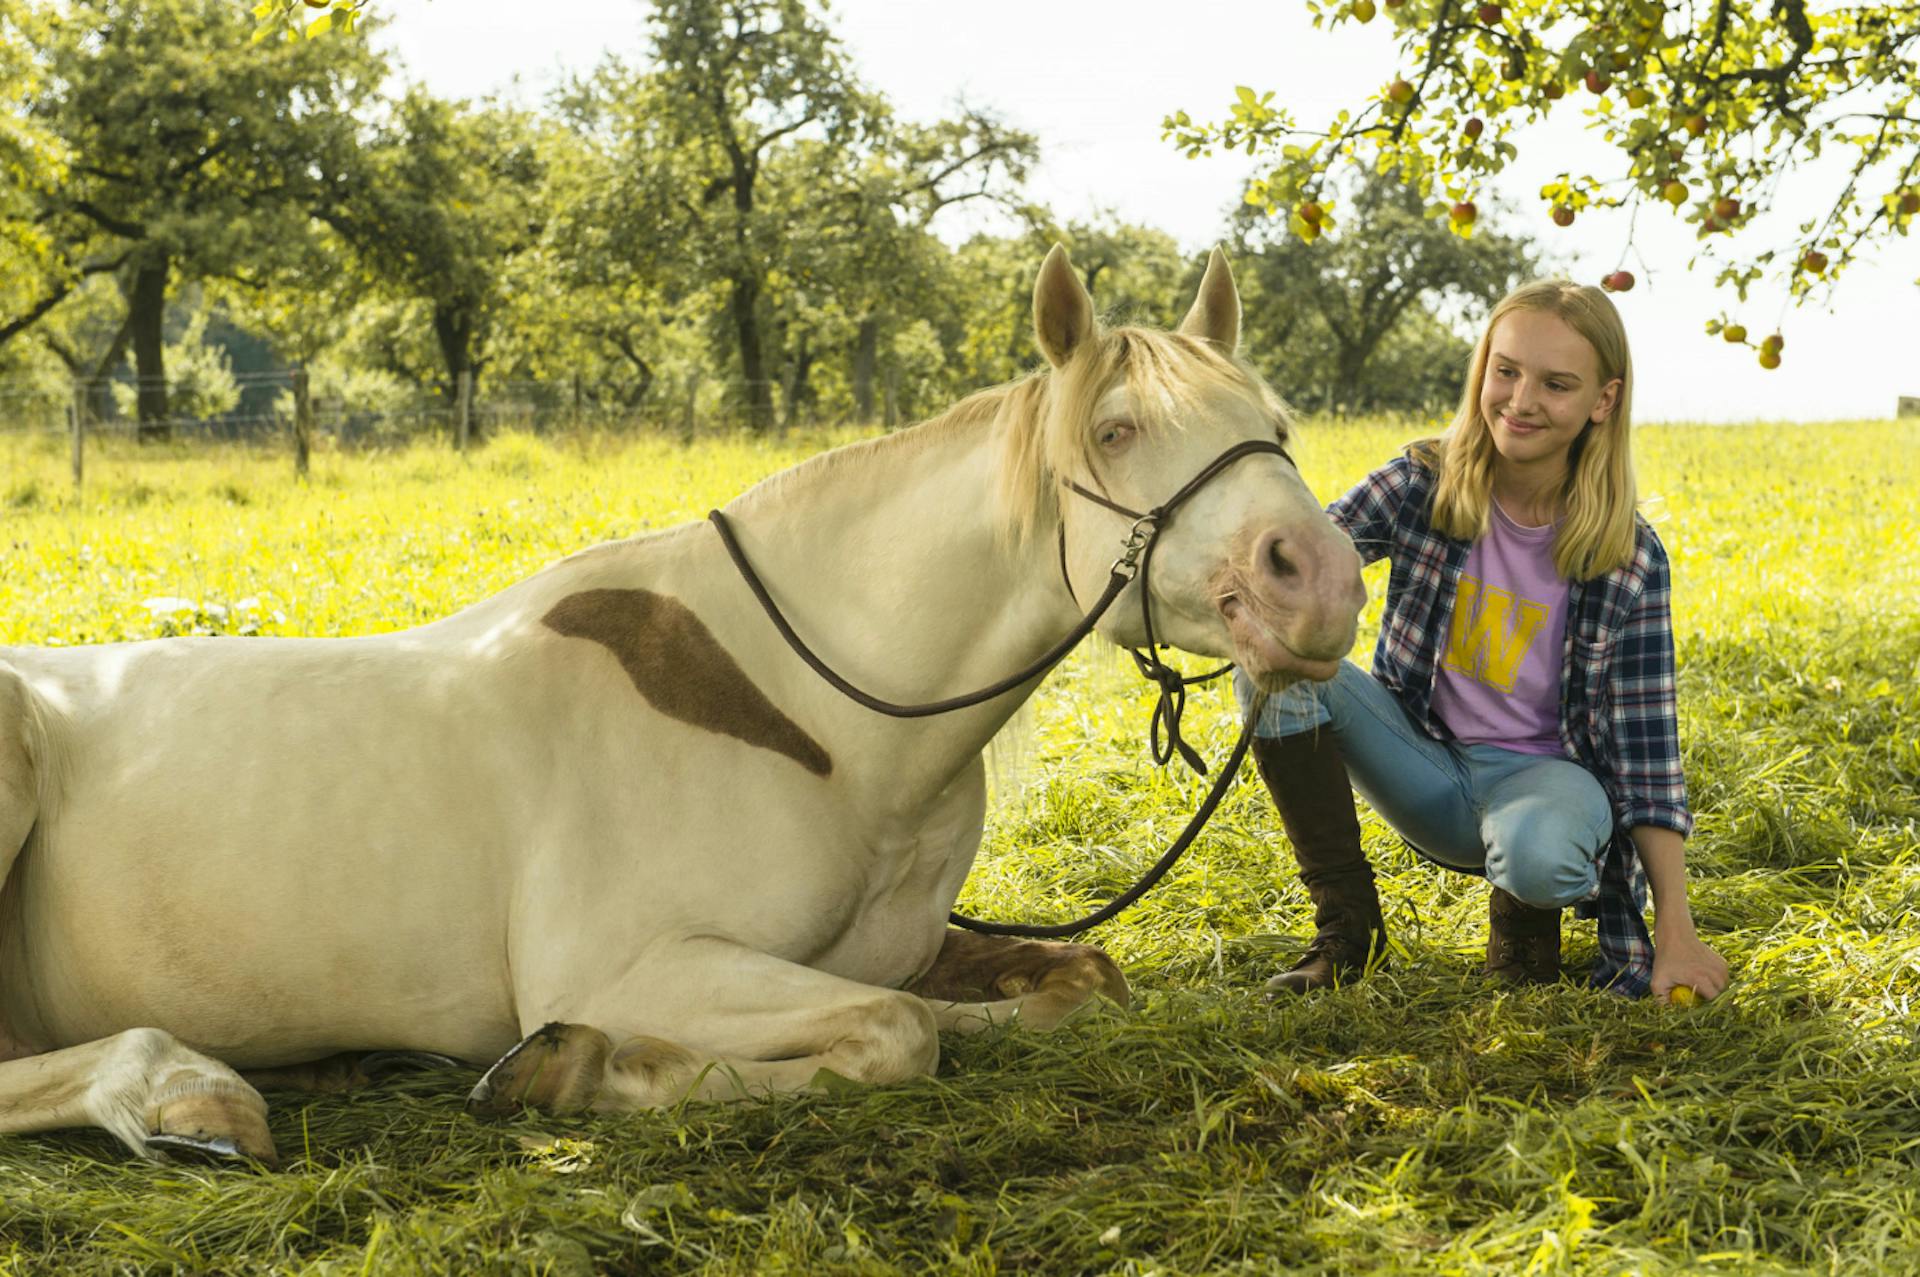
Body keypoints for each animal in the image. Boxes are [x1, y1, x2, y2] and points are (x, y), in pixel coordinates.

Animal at [0, 245, 1367, 1167]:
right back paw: (185, 1090)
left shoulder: (901, 946)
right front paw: (575, 1070)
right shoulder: (633, 964)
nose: (1321, 577)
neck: (808, 720)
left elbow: (1062, 983)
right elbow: (894, 1034)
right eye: (1119, 428)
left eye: (1277, 423)